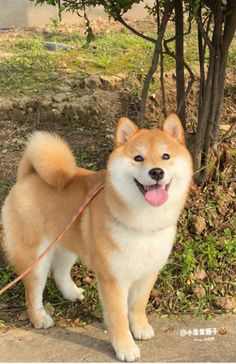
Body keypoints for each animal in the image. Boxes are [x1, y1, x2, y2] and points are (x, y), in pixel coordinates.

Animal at [1, 114, 193, 362]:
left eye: (166, 156)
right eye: (138, 158)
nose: (157, 172)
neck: (142, 223)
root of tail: (27, 176)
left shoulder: (148, 272)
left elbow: (138, 305)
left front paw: (140, 328)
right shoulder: (113, 279)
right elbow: (118, 317)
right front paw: (125, 347)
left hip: (67, 243)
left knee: (60, 272)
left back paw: (72, 292)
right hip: (36, 258)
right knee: (33, 291)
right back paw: (39, 318)